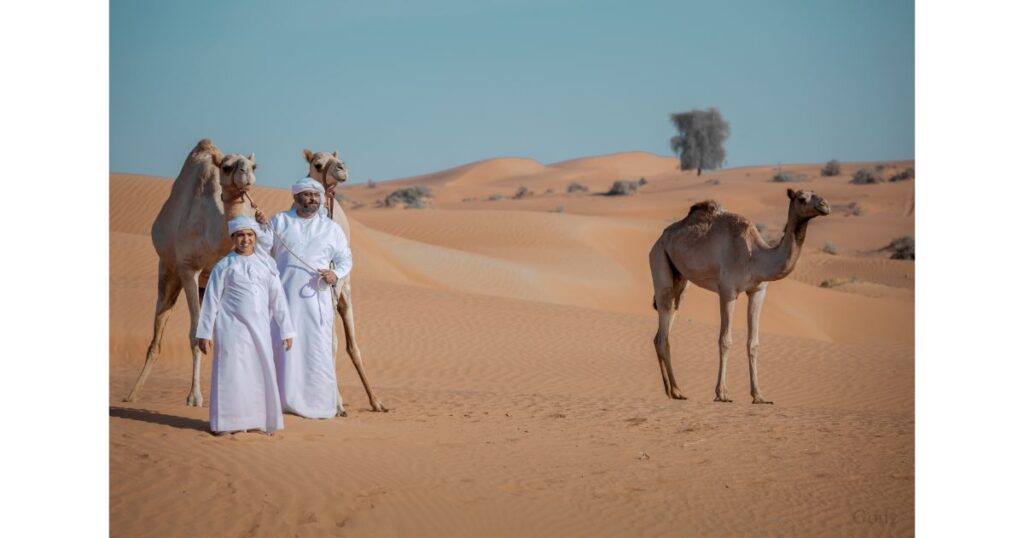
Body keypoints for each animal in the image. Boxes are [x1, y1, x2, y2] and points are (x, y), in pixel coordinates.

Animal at [124, 139, 257, 406]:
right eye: (227, 167)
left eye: (254, 165)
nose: (246, 173)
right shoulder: (187, 269)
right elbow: (196, 335)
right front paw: (194, 397)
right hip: (167, 270)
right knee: (158, 329)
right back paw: (132, 395)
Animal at [302, 149, 387, 414]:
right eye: (317, 164)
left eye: (337, 159)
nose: (341, 168)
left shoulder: (333, 286)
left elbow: (335, 344)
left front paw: (337, 404)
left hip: (344, 293)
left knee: (351, 345)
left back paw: (375, 402)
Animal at [648, 188, 830, 404]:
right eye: (802, 198)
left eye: (817, 194)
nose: (825, 205)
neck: (756, 257)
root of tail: (659, 240)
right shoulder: (728, 291)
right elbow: (725, 340)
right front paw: (722, 393)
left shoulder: (758, 292)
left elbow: (753, 343)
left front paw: (759, 396)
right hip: (659, 260)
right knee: (664, 325)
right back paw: (677, 391)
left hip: (681, 280)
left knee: (667, 322)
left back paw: (671, 390)